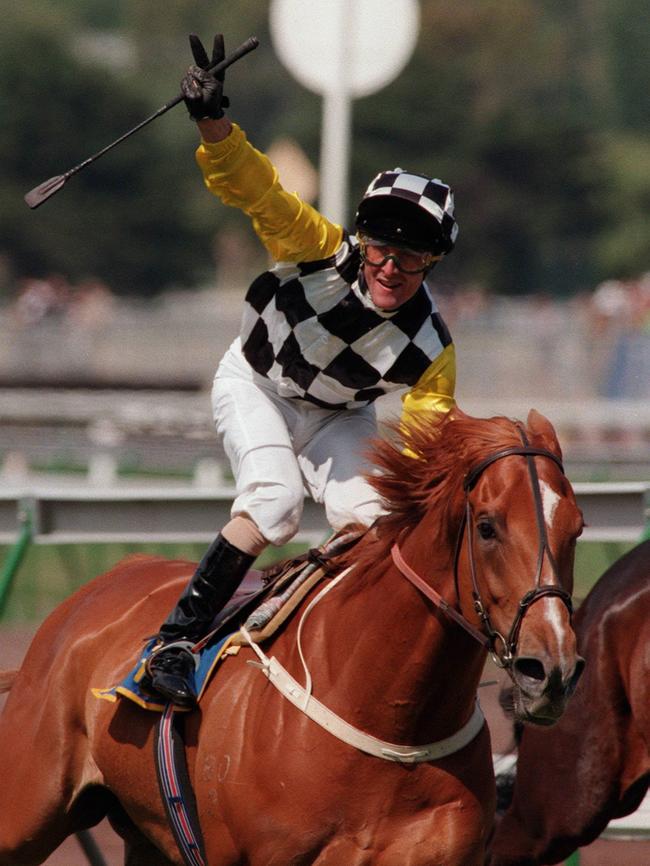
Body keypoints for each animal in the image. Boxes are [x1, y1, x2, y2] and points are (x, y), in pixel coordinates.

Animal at [0, 410, 584, 864]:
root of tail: (97, 587)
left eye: (576, 528)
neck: (389, 715)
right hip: (27, 809)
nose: (550, 670)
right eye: (487, 527)